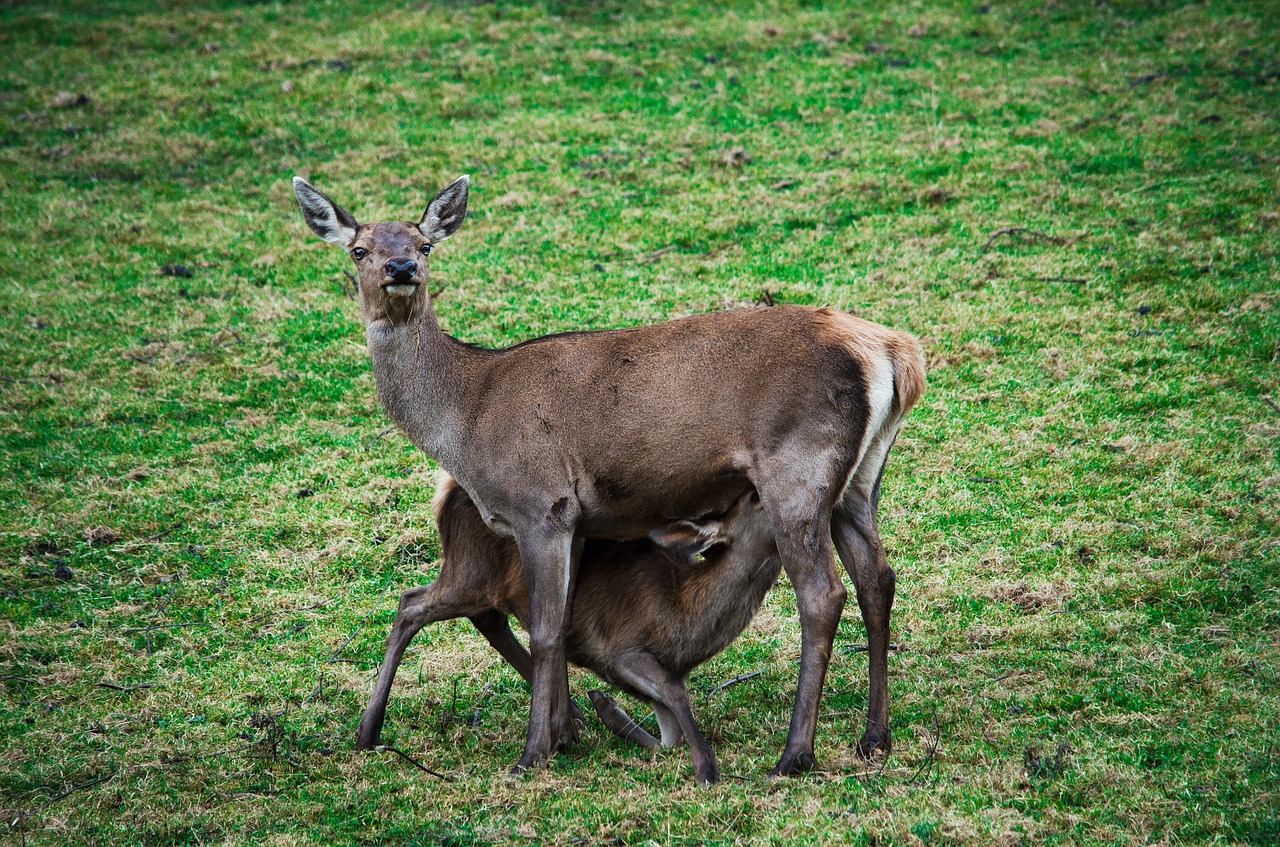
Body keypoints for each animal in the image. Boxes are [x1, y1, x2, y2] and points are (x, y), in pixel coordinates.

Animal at [294, 174, 926, 783]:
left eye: (424, 244)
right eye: (359, 250)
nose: (401, 269)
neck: (467, 418)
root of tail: (894, 352)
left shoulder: (540, 503)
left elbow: (548, 628)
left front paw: (532, 754)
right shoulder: (575, 519)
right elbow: (561, 617)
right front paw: (563, 736)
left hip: (796, 469)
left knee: (822, 593)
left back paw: (795, 755)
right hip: (858, 480)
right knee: (877, 577)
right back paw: (874, 738)